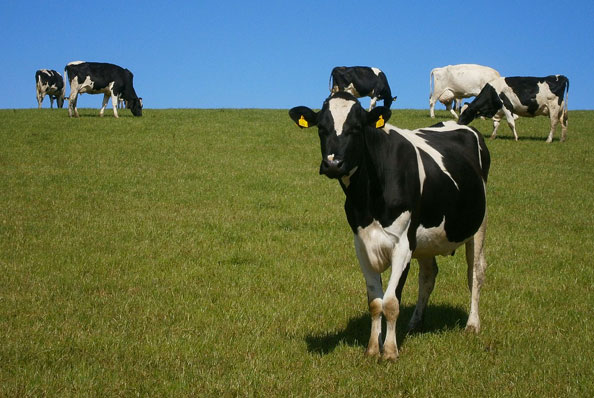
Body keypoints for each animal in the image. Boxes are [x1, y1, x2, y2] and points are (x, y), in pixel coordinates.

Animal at [286, 93, 486, 360]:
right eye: (321, 128)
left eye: (356, 128)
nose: (332, 164)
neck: (368, 198)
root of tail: (460, 124)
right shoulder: (362, 244)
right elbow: (375, 301)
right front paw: (373, 348)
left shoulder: (402, 244)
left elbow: (391, 301)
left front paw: (390, 351)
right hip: (424, 239)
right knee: (428, 275)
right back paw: (415, 323)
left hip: (478, 226)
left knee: (475, 272)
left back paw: (472, 324)